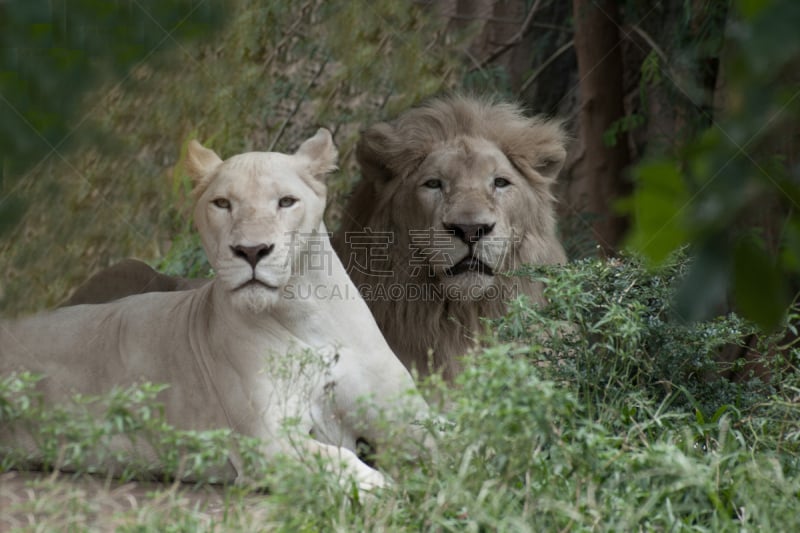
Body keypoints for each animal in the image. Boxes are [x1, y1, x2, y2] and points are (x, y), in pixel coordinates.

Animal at [0, 130, 432, 490]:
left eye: (286, 202)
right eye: (222, 203)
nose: (252, 251)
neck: (304, 312)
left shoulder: (405, 414)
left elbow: (445, 436)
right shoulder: (268, 443)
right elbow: (343, 461)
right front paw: (392, 492)